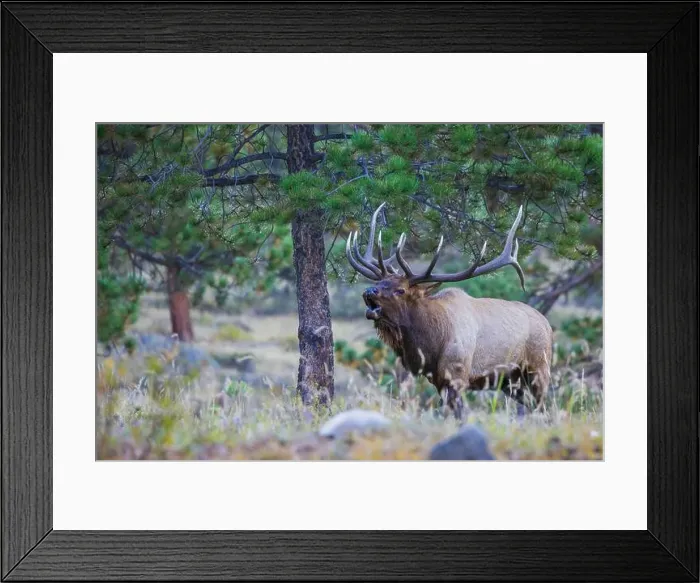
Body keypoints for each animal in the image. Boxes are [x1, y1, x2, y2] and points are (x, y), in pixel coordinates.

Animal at [345, 202, 552, 419]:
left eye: (400, 290)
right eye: (379, 282)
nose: (368, 291)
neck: (431, 343)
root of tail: (547, 324)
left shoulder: (456, 374)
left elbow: (458, 414)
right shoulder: (438, 380)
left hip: (538, 367)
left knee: (542, 406)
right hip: (511, 381)